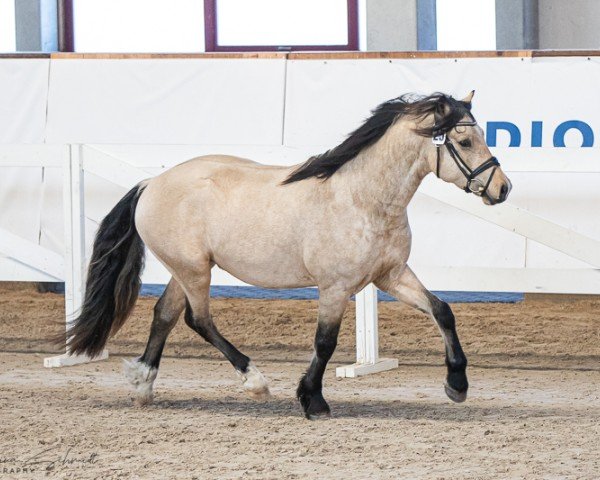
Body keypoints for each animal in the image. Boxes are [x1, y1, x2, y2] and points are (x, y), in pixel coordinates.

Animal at [65, 92, 510, 418]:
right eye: (465, 141)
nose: (502, 188)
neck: (362, 198)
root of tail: (151, 183)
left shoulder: (392, 275)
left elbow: (442, 311)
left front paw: (457, 385)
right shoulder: (335, 287)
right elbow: (325, 342)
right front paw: (312, 400)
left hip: (186, 268)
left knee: (165, 315)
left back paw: (143, 385)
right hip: (193, 271)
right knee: (198, 319)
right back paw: (255, 382)